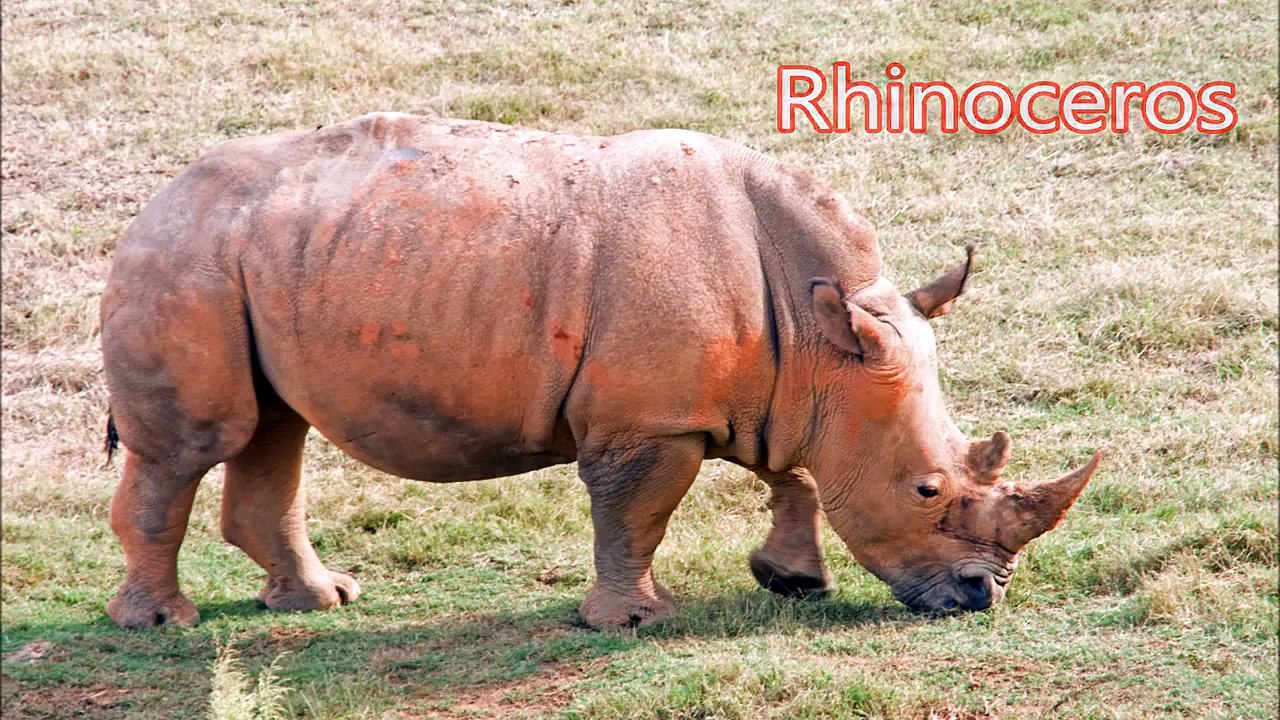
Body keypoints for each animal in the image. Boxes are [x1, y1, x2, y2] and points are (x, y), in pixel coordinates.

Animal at [100, 112, 1100, 629]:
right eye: (930, 490)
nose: (983, 597)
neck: (820, 333)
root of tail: (151, 202)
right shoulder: (648, 422)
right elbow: (637, 514)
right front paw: (634, 621)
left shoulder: (793, 391)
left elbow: (800, 475)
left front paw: (792, 582)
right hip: (185, 258)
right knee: (198, 445)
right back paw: (162, 624)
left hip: (266, 261)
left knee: (275, 428)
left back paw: (321, 601)